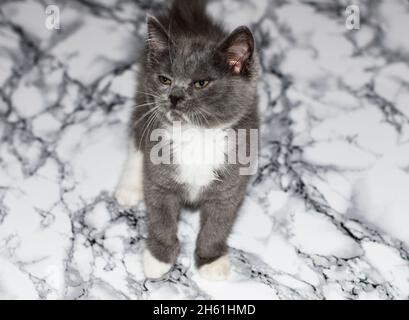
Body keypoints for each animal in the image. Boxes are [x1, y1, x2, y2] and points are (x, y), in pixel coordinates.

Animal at [114, 0, 258, 280]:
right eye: (165, 79)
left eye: (201, 83)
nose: (174, 97)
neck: (195, 134)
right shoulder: (160, 178)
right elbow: (160, 217)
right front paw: (158, 258)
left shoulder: (231, 181)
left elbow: (218, 223)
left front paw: (211, 260)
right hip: (143, 96)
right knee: (137, 135)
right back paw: (128, 188)